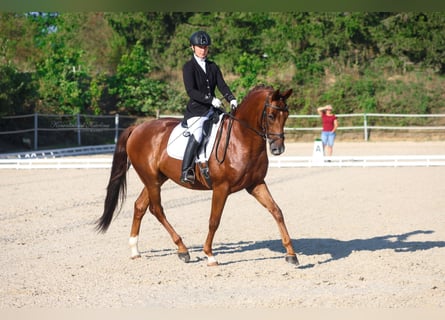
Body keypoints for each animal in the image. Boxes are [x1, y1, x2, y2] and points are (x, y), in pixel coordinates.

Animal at [96, 84, 298, 266]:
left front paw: (291, 254)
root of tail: (137, 128)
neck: (241, 138)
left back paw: (135, 250)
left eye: (286, 115)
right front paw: (209, 255)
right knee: (157, 209)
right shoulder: (221, 188)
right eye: (271, 116)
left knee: (140, 206)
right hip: (151, 179)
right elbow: (214, 220)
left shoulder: (255, 184)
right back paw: (182, 250)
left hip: (156, 179)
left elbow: (277, 211)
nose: (278, 149)